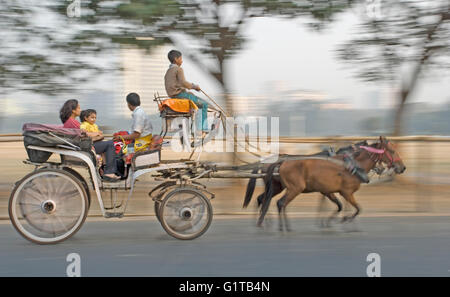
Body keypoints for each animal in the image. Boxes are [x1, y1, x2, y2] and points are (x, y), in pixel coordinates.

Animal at [258, 136, 406, 231]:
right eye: (392, 151)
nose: (402, 167)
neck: (352, 166)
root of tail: (282, 162)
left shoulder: (330, 191)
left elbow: (341, 206)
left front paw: (331, 221)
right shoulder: (346, 192)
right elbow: (357, 208)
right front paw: (345, 220)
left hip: (281, 187)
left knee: (267, 200)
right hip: (295, 188)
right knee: (280, 203)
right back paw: (282, 226)